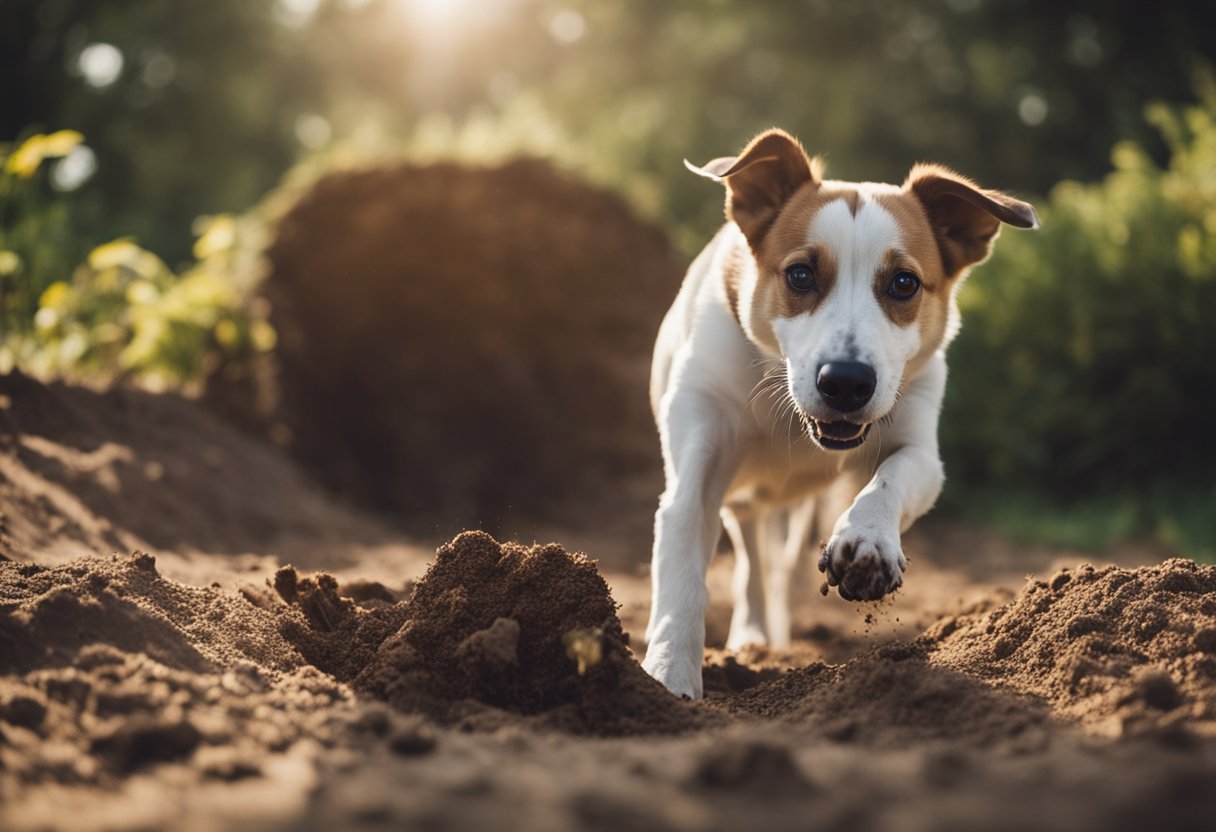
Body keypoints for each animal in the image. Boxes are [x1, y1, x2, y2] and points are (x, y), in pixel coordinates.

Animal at [637, 130, 1036, 700]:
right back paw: (754, 640)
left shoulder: (918, 442)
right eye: (801, 274)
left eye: (904, 283)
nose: (846, 381)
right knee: (754, 566)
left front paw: (867, 539)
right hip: (744, 500)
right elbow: (684, 560)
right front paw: (669, 677)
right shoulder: (700, 454)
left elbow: (894, 474)